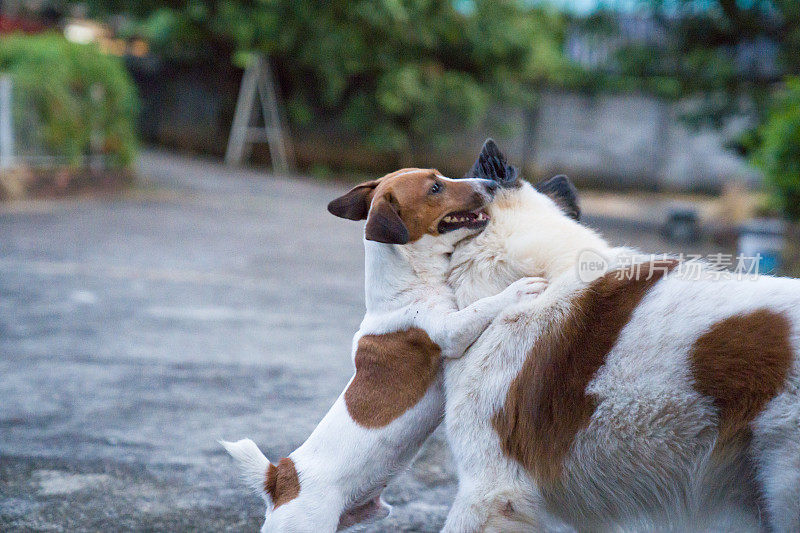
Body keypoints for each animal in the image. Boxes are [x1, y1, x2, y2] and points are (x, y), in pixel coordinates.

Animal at [222, 168, 548, 528]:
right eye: (435, 187)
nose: (492, 184)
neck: (411, 284)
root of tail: (281, 478)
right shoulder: (449, 331)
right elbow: (483, 306)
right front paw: (520, 289)